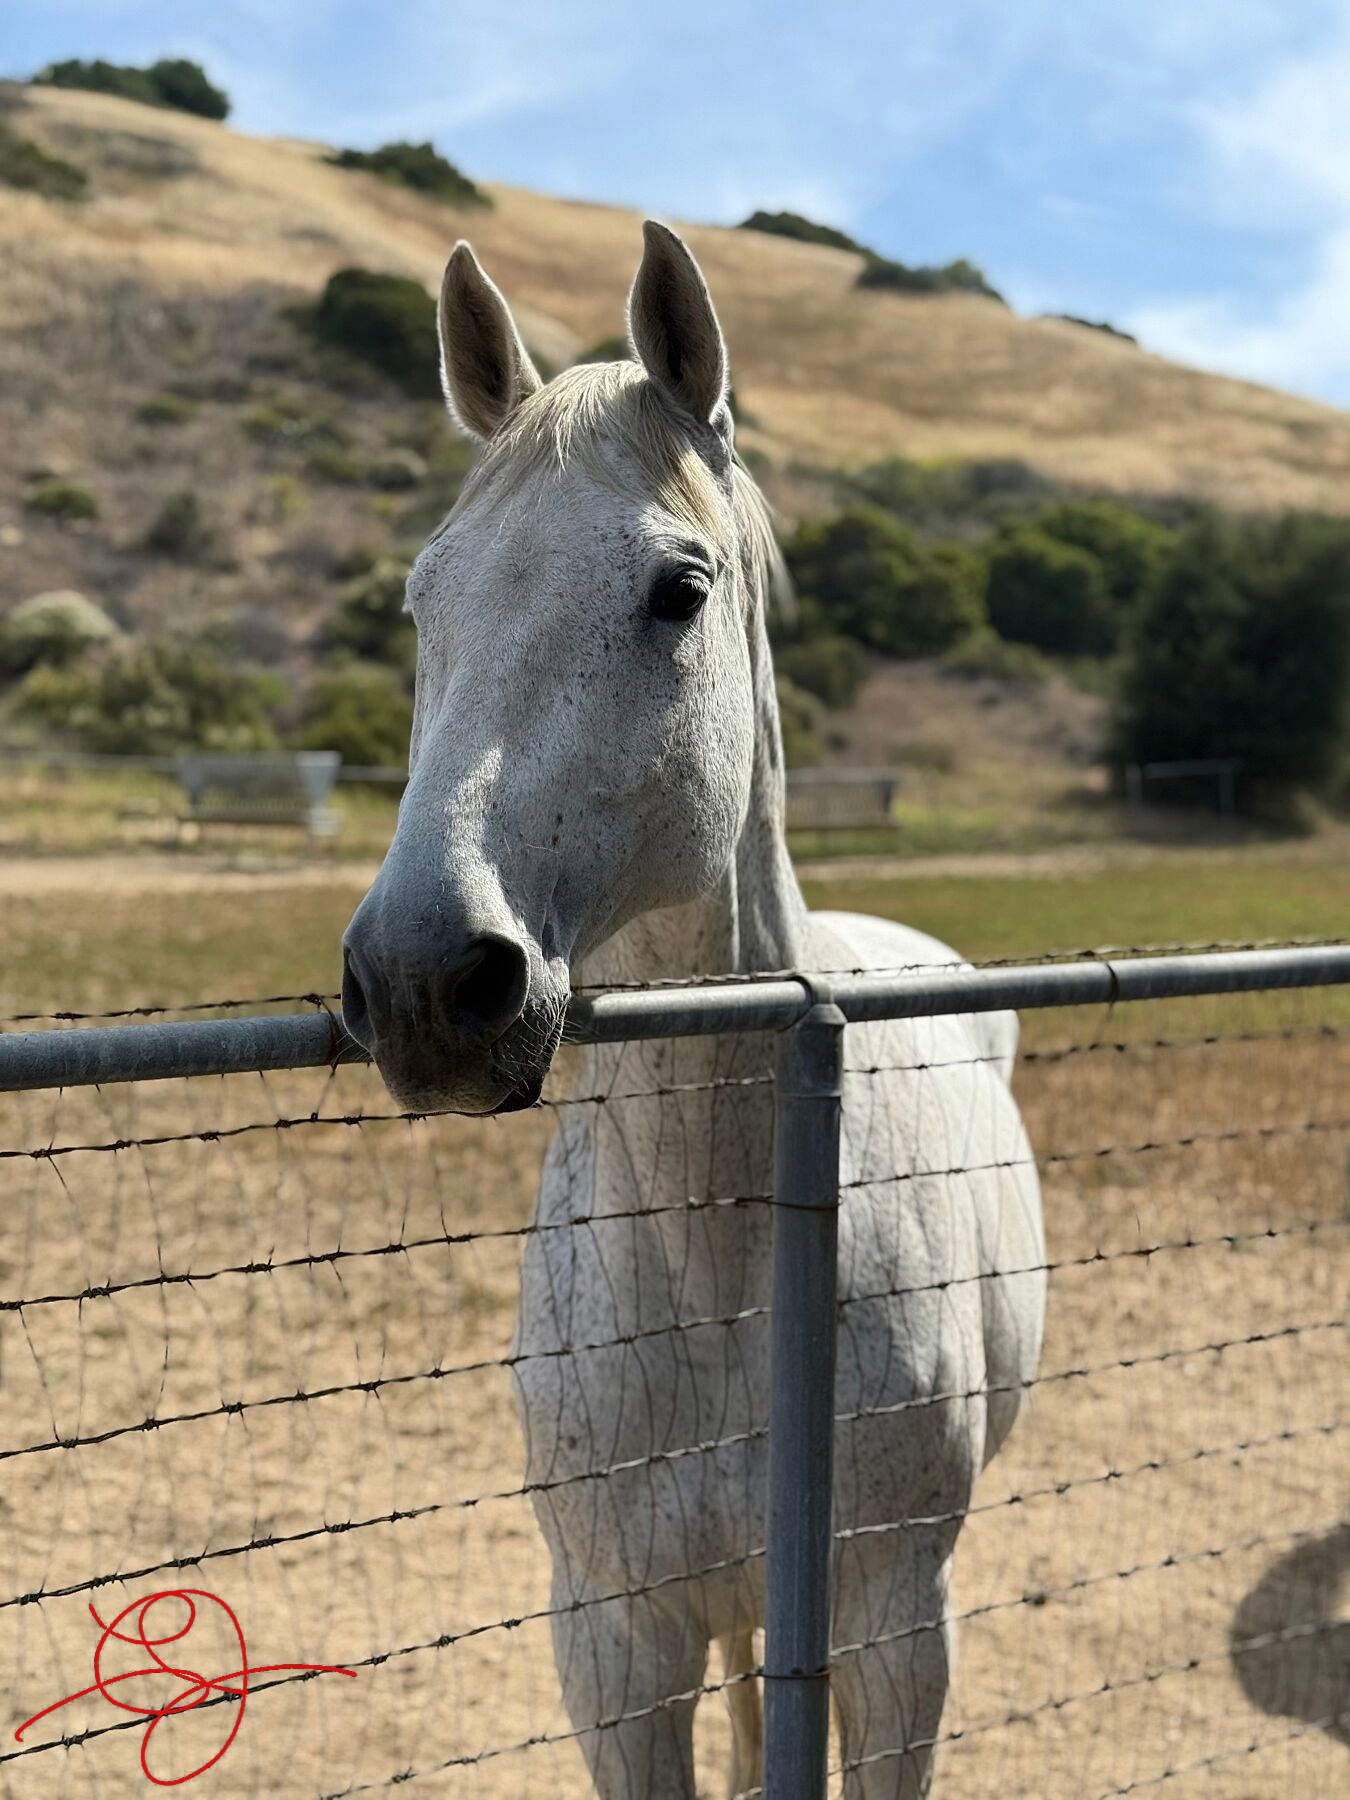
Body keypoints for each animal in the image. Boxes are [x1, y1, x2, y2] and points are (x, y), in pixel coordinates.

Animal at [341, 221, 1046, 1798]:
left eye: (679, 589)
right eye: (423, 602)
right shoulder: (611, 1645)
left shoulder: (895, 1628)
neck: (725, 1259)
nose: (422, 982)